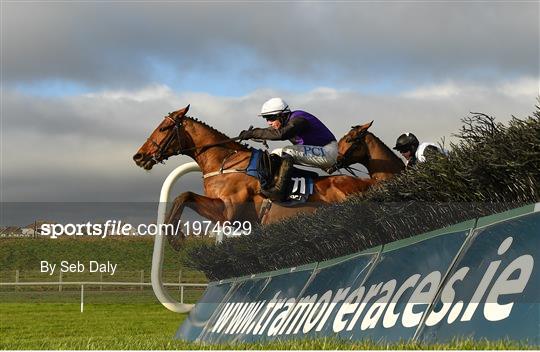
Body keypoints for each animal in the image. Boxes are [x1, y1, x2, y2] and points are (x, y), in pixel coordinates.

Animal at [134, 106, 376, 249]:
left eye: (164, 128)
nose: (139, 156)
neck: (226, 162)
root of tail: (366, 183)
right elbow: (182, 197)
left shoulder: (228, 212)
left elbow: (184, 195)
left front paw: (176, 237)